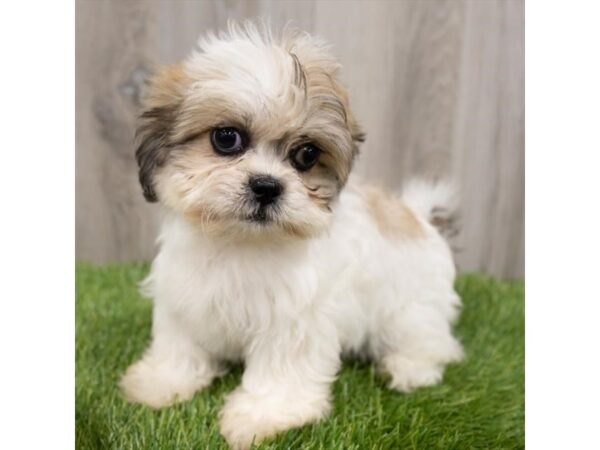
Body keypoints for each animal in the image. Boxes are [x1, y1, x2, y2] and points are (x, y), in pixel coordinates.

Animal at [120, 22, 464, 450]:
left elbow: (280, 370)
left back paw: (409, 368)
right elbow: (180, 345)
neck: (240, 243)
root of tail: (417, 216)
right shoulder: (185, 297)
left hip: (412, 309)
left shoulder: (293, 321)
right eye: (226, 138)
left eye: (306, 155)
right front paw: (162, 382)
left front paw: (264, 416)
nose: (266, 186)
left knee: (432, 342)